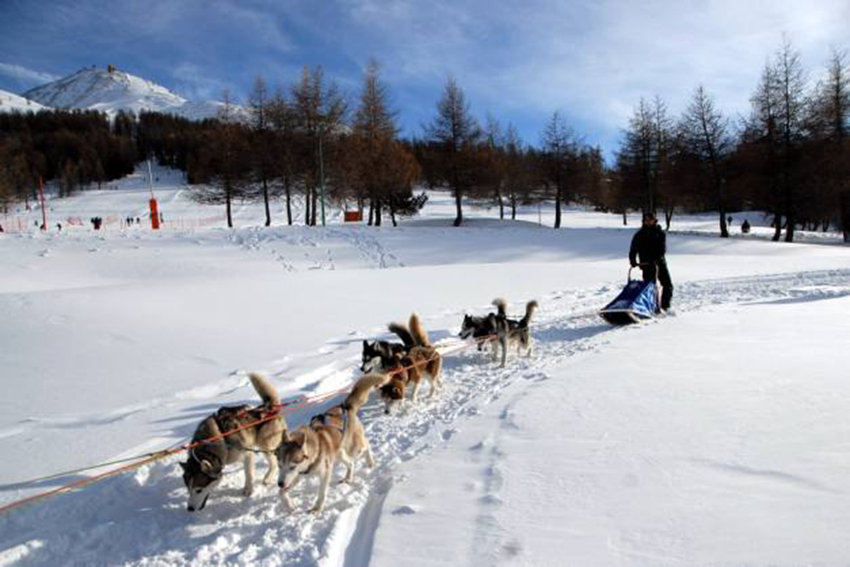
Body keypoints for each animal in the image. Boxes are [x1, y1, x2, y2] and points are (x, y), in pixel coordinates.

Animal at [178, 374, 284, 512]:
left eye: (199, 490)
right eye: (188, 490)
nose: (190, 508)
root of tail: (268, 407)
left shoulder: (247, 454)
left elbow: (249, 474)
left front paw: (248, 490)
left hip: (265, 444)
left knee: (274, 462)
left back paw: (268, 478)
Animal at [278, 372, 384, 516]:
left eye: (292, 466)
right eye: (279, 465)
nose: (279, 483)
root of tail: (345, 406)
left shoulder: (324, 473)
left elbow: (322, 493)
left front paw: (317, 508)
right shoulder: (298, 476)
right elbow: (281, 493)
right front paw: (289, 506)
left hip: (355, 447)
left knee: (366, 446)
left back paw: (370, 463)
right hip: (340, 453)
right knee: (351, 463)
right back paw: (347, 478)